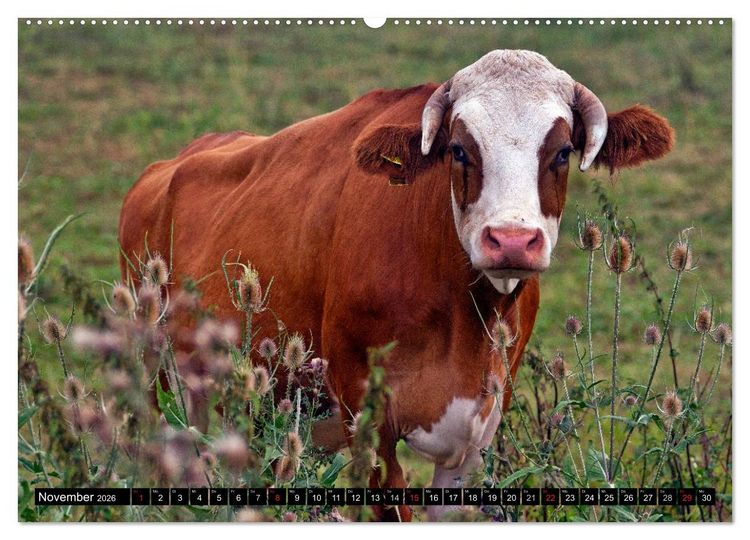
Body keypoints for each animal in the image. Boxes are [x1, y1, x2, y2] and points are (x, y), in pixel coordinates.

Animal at [119, 49, 674, 521]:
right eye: (459, 149)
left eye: (561, 152)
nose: (512, 241)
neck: (465, 323)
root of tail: (170, 165)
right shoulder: (365, 414)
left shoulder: (478, 430)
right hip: (159, 380)